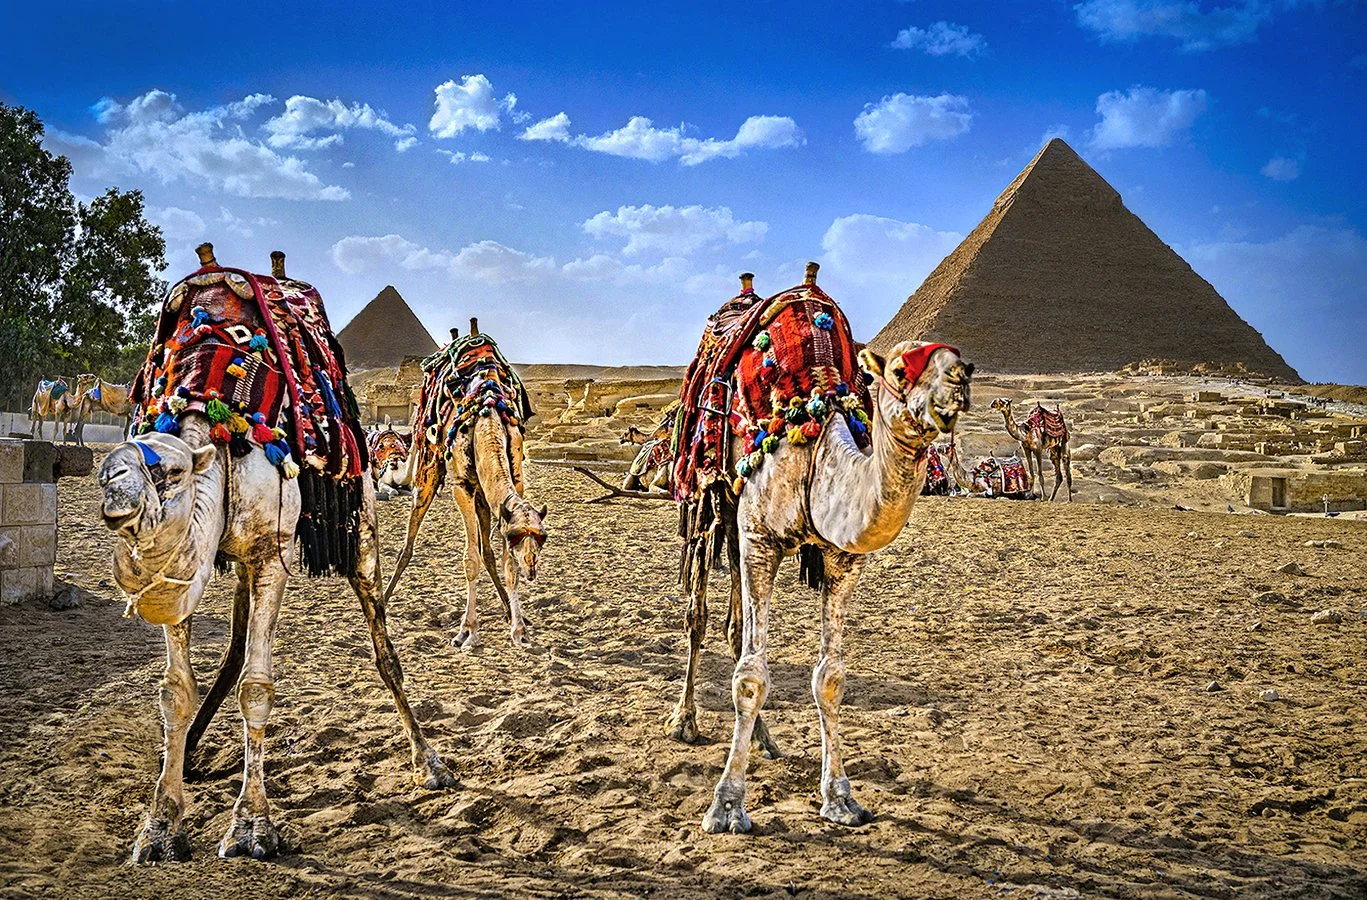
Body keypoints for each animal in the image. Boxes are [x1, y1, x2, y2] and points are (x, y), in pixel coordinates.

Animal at [99, 246, 453, 864]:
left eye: (168, 473)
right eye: (108, 467)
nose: (117, 499)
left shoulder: (270, 557)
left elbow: (258, 687)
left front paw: (251, 827)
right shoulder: (193, 571)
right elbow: (175, 691)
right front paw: (160, 825)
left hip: (359, 534)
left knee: (383, 648)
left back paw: (428, 762)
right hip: (240, 556)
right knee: (235, 646)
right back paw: (194, 755)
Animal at [385, 321, 546, 650]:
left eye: (543, 537)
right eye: (515, 537)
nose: (532, 567)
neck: (488, 418)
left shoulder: (514, 484)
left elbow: (503, 561)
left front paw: (520, 629)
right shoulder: (462, 486)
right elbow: (470, 559)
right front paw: (467, 632)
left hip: (483, 496)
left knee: (487, 552)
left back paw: (505, 608)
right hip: (428, 470)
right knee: (408, 542)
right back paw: (381, 603)